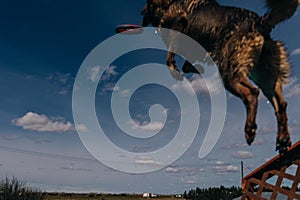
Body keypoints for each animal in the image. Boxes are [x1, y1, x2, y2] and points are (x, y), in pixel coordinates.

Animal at [142, 0, 298, 153]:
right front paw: (195, 67)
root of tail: (259, 22)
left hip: (229, 71)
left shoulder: (179, 24)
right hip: (265, 76)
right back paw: (283, 139)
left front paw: (175, 68)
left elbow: (170, 53)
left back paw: (250, 129)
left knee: (252, 93)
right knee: (280, 104)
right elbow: (188, 64)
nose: (141, 11)